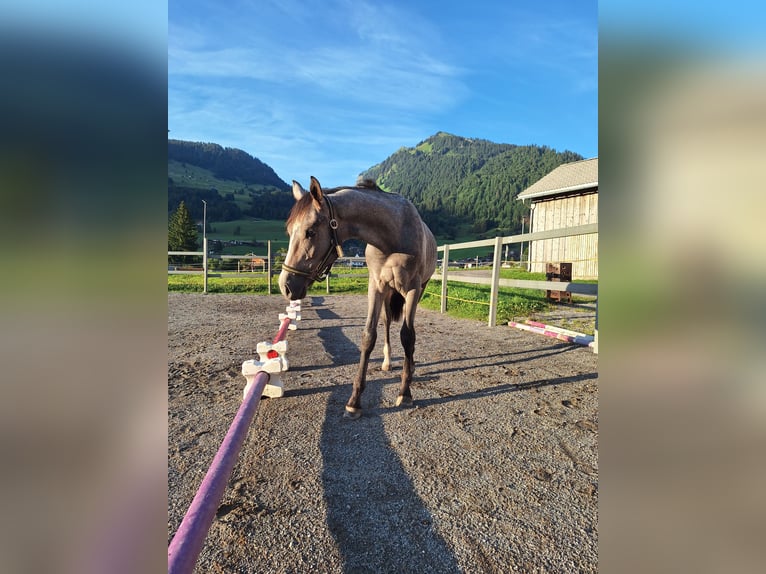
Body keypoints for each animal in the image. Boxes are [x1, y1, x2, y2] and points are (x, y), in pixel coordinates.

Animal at [280, 176, 438, 418]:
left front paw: (405, 392)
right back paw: (387, 362)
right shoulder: (376, 286)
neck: (392, 235)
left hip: (418, 289)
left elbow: (407, 336)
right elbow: (368, 336)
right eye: (289, 231)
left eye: (310, 232)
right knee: (386, 322)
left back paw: (409, 367)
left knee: (407, 332)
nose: (286, 286)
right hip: (388, 293)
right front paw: (354, 401)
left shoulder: (413, 289)